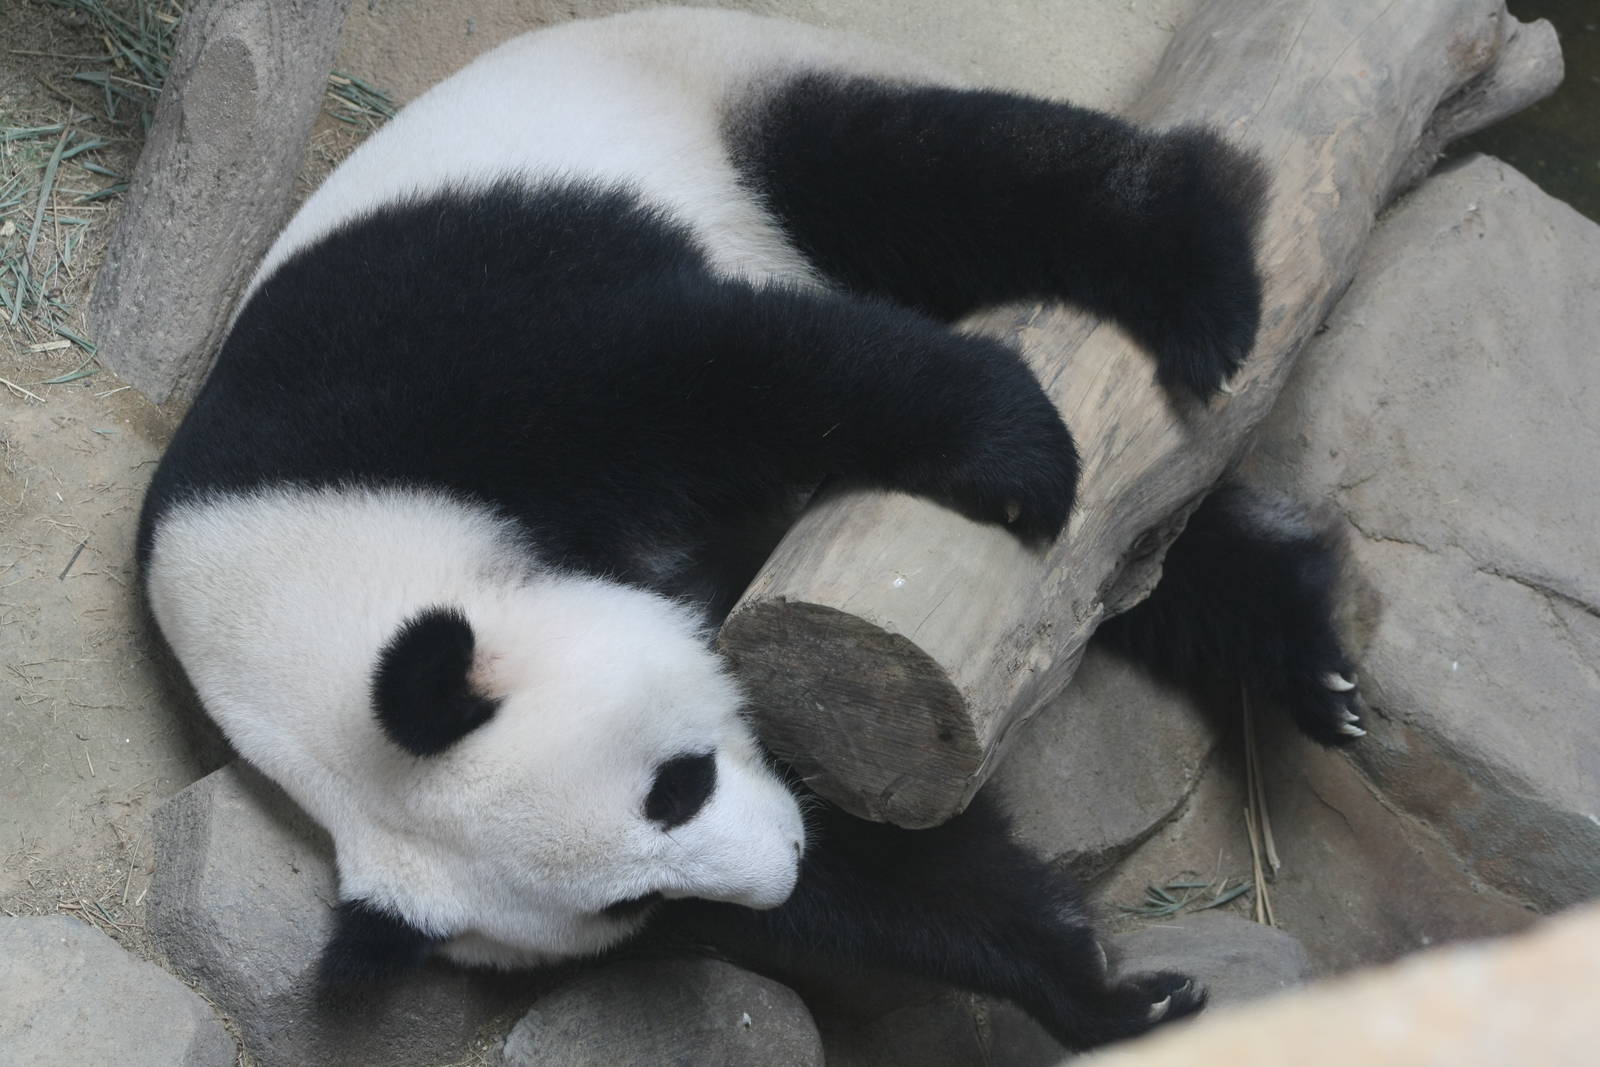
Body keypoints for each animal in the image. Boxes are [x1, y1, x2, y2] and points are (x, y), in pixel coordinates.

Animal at [138, 7, 1364, 1052]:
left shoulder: (419, 383)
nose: (778, 857)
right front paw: (1101, 988)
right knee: (1138, 549)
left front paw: (1010, 444)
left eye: (674, 783)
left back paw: (1192, 269)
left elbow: (704, 372)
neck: (312, 577)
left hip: (726, 101)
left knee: (933, 176)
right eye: (636, 899)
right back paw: (1301, 658)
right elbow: (884, 855)